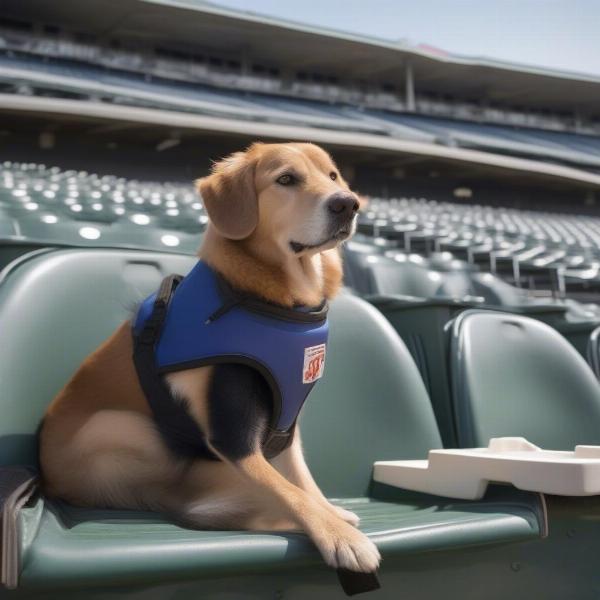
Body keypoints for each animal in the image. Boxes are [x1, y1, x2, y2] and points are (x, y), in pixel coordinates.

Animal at [39, 142, 382, 576]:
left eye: (333, 175)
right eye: (286, 179)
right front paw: (338, 535)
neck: (268, 300)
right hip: (122, 429)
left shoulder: (287, 427)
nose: (348, 203)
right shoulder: (233, 439)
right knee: (186, 502)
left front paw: (330, 511)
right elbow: (288, 491)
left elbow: (303, 482)